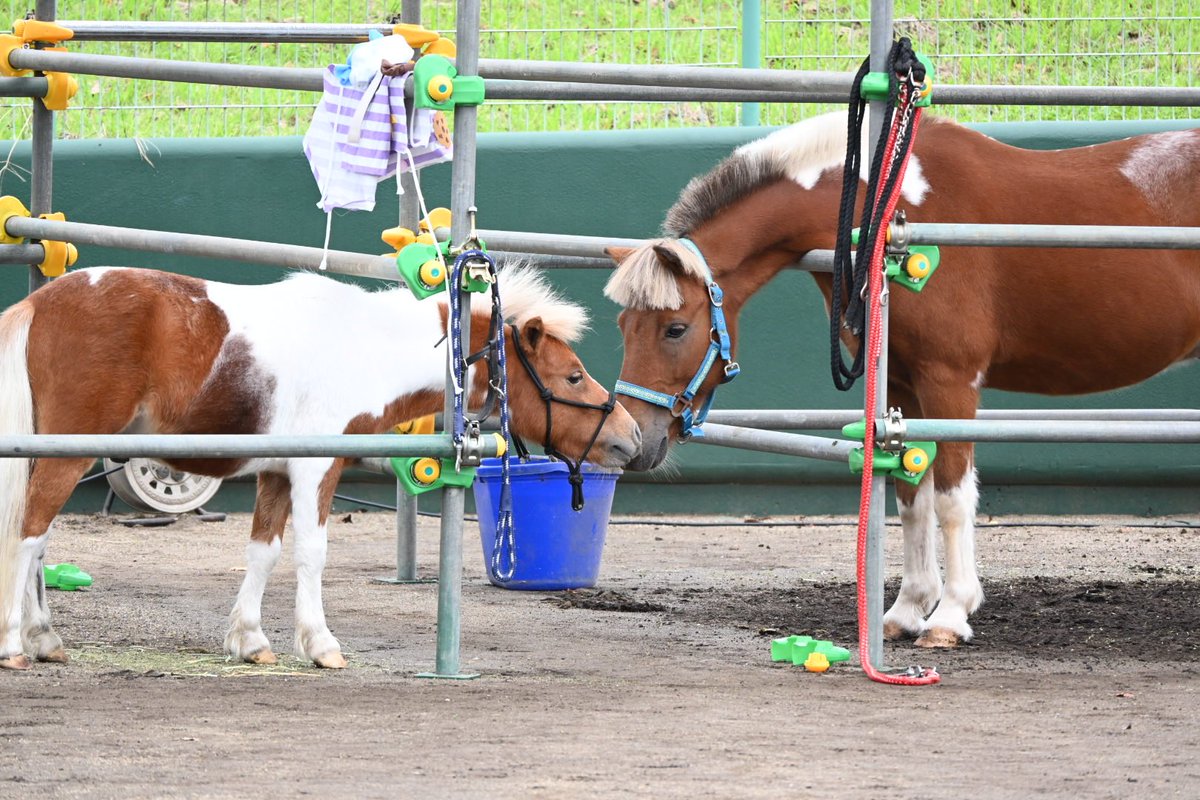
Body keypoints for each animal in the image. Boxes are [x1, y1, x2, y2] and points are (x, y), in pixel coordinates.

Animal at [0, 265, 640, 670]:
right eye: (573, 376)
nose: (631, 438)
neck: (364, 347)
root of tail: (39, 302)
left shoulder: (277, 474)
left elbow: (264, 551)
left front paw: (250, 640)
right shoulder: (317, 469)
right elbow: (311, 552)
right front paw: (320, 644)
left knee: (41, 537)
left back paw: (45, 637)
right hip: (66, 452)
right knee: (28, 534)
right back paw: (15, 644)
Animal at [604, 110, 1200, 648]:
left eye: (675, 328)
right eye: (623, 326)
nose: (636, 441)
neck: (890, 205)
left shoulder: (950, 384)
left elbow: (953, 499)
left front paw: (950, 615)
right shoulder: (899, 388)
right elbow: (913, 496)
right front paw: (906, 610)